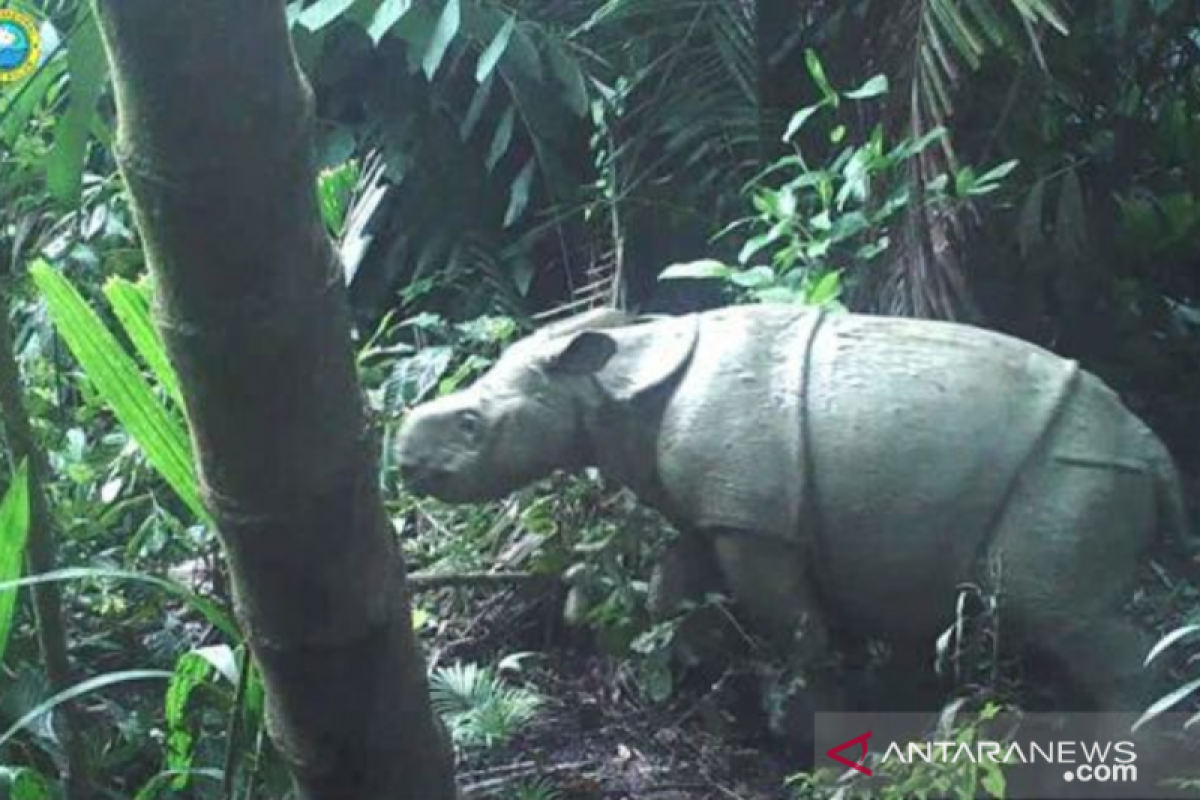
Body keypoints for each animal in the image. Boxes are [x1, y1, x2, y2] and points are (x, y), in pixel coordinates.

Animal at [396, 303, 1190, 710]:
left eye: (472, 425)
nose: (402, 460)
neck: (607, 382)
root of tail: (1157, 451)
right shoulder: (718, 507)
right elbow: (672, 585)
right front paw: (686, 672)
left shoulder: (757, 522)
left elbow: (791, 619)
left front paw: (800, 708)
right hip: (1084, 467)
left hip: (1073, 468)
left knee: (1062, 615)